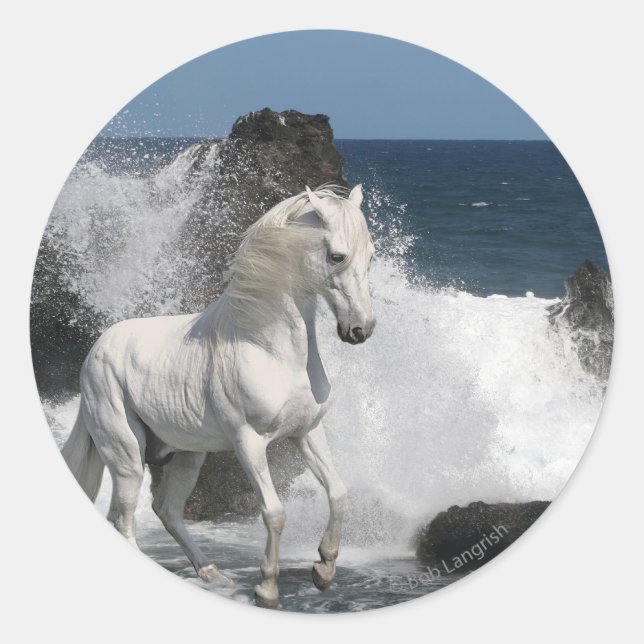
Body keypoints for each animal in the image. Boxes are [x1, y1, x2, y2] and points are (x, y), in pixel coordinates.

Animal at [61, 184, 376, 608]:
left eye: (371, 255)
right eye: (337, 256)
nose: (360, 330)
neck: (269, 347)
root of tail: (95, 351)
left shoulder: (307, 432)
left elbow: (338, 492)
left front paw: (323, 571)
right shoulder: (249, 443)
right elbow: (274, 512)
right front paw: (266, 590)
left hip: (188, 455)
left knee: (166, 509)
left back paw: (213, 574)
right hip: (126, 456)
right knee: (124, 520)